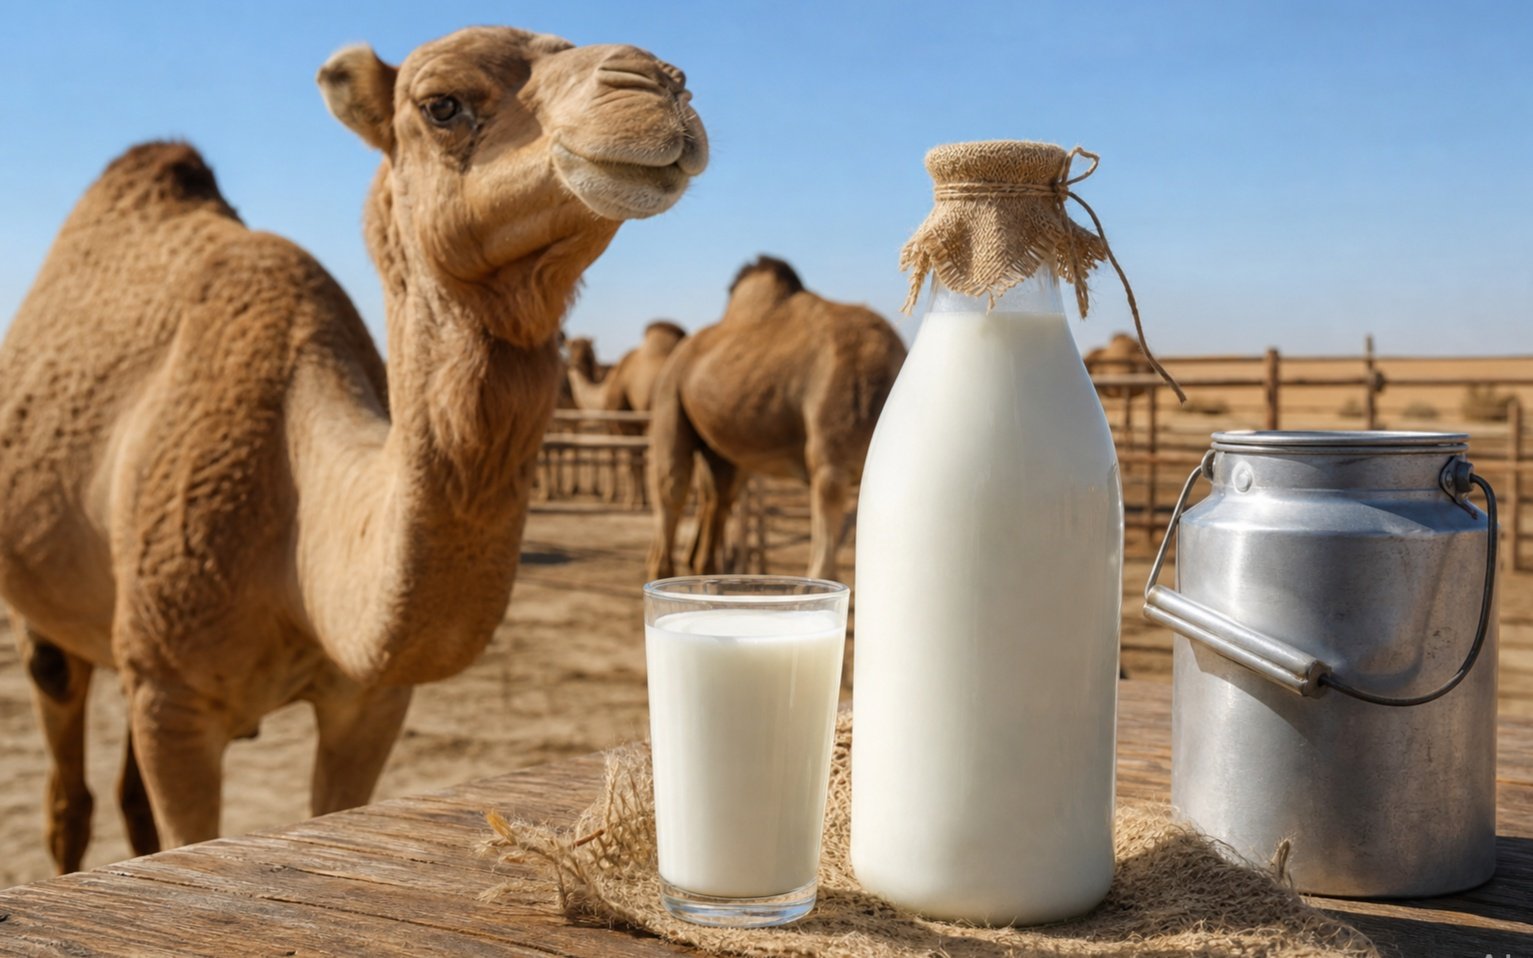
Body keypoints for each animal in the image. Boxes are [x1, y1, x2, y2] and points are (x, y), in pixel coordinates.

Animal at [0, 25, 706, 871]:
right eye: (441, 104)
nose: (658, 87)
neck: (295, 537)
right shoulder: (175, 702)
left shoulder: (369, 701)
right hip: (53, 618)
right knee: (65, 775)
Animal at [646, 257, 906, 583]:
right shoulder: (831, 464)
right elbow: (824, 568)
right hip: (670, 392)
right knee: (672, 486)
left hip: (722, 442)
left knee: (720, 496)